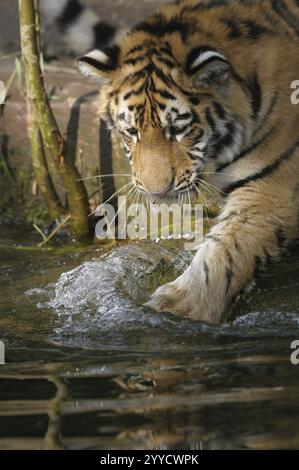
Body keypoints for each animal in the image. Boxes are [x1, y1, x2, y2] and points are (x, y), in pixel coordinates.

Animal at [77, 0, 299, 324]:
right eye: (132, 131)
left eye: (178, 129)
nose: (156, 191)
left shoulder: (269, 189)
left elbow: (226, 251)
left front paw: (183, 306)